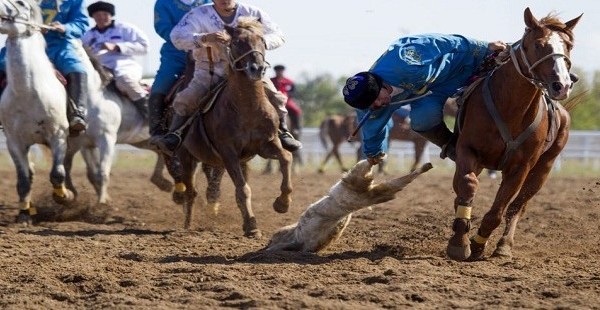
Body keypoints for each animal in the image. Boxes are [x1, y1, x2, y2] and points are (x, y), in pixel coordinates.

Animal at [170, 18, 292, 237]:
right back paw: (187, 225)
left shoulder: (267, 144)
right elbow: (242, 189)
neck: (247, 108)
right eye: (236, 42)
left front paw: (282, 203)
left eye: (262, 40)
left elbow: (286, 158)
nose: (256, 68)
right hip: (187, 157)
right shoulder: (228, 152)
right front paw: (252, 226)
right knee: (191, 192)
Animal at [446, 6, 580, 262]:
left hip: (543, 169)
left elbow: (499, 211)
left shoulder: (521, 167)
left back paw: (504, 246)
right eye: (538, 44)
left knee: (518, 206)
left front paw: (478, 244)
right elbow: (466, 185)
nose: (562, 85)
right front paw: (459, 242)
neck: (510, 108)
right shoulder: (468, 150)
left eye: (568, 45)